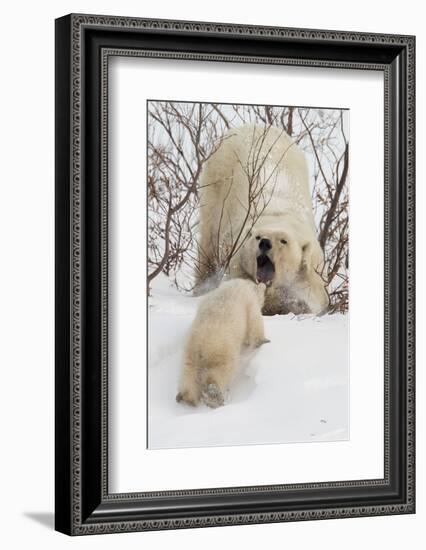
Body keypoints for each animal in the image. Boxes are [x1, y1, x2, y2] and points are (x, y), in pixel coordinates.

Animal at [176, 280, 266, 410]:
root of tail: (201, 344)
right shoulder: (250, 303)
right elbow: (255, 322)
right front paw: (263, 341)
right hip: (222, 350)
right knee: (222, 370)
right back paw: (214, 395)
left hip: (189, 352)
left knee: (188, 372)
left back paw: (188, 398)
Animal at [195, 124, 328, 314]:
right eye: (257, 237)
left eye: (283, 240)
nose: (265, 243)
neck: (279, 215)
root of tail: (250, 125)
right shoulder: (238, 257)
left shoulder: (312, 270)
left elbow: (312, 297)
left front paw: (293, 304)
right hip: (216, 180)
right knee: (209, 240)